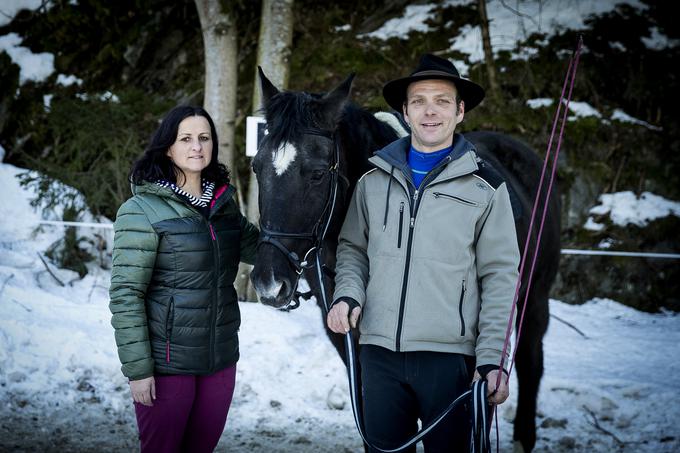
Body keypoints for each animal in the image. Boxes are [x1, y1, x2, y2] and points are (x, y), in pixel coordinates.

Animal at [250, 68, 556, 452]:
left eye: (317, 173)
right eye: (256, 167)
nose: (269, 283)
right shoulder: (350, 344)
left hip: (534, 297)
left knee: (530, 364)